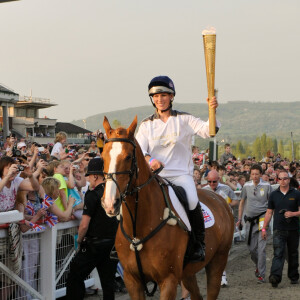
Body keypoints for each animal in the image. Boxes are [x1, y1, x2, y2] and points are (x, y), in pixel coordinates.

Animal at [101, 115, 234, 300]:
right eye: (102, 156)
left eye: (128, 156)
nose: (109, 203)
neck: (139, 227)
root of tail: (220, 199)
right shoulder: (132, 280)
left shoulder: (168, 280)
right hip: (188, 272)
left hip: (217, 261)